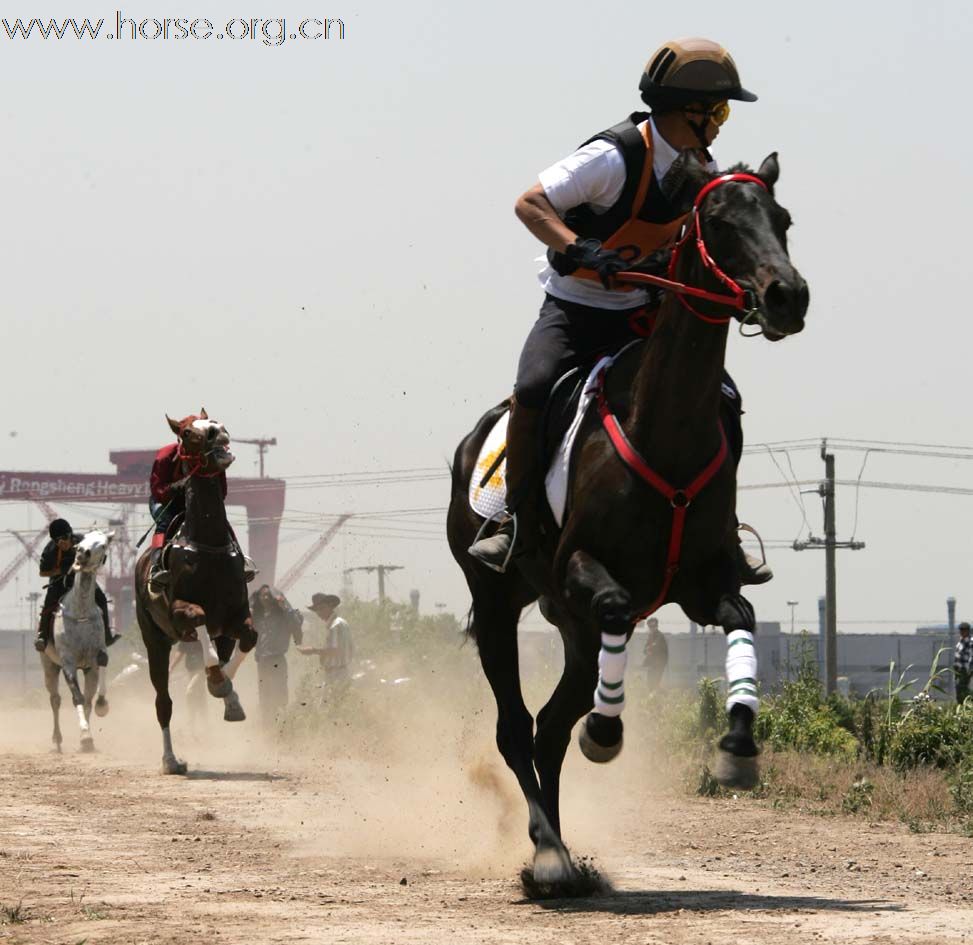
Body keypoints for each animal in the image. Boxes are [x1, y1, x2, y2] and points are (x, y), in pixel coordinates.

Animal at [133, 412, 256, 776]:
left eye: (216, 421)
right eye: (188, 433)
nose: (218, 433)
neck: (207, 545)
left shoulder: (235, 615)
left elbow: (249, 638)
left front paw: (225, 690)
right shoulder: (180, 613)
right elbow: (200, 621)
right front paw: (216, 678)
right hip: (155, 640)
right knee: (163, 702)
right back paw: (171, 760)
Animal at [446, 151, 804, 888]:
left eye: (781, 219)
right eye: (720, 223)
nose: (788, 295)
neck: (664, 427)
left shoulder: (701, 581)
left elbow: (741, 615)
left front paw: (736, 746)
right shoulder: (582, 568)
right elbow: (611, 606)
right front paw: (606, 733)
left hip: (570, 626)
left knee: (550, 725)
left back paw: (557, 848)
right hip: (496, 600)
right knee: (515, 725)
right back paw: (547, 853)